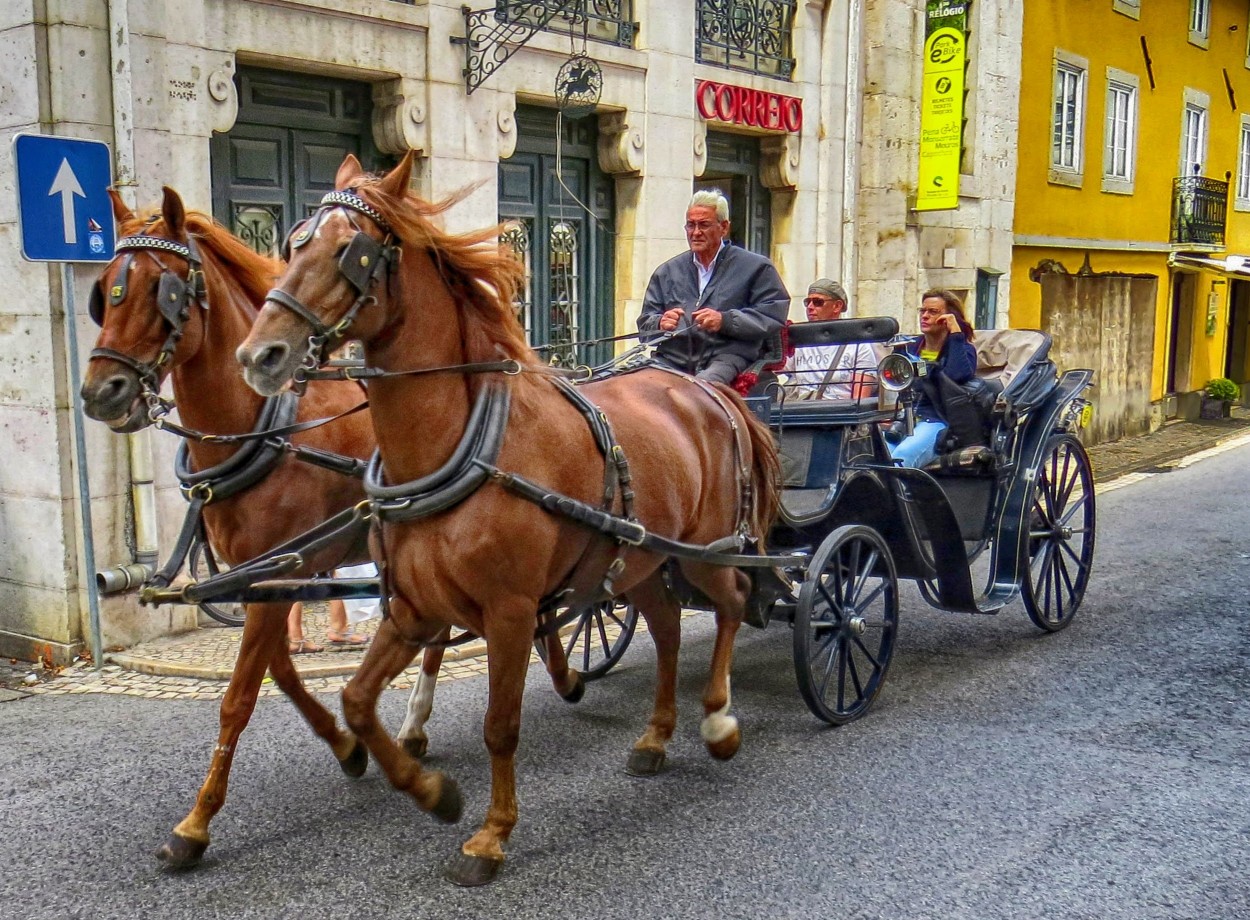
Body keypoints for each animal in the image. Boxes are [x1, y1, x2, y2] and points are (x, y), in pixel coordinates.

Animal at [235, 154, 780, 890]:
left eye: (352, 250)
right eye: (293, 244)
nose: (259, 355)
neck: (459, 444)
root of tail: (703, 387)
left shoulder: (511, 611)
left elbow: (501, 724)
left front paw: (491, 836)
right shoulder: (413, 608)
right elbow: (356, 700)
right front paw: (434, 792)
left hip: (708, 547)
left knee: (732, 602)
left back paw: (719, 722)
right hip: (638, 559)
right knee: (667, 629)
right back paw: (656, 736)